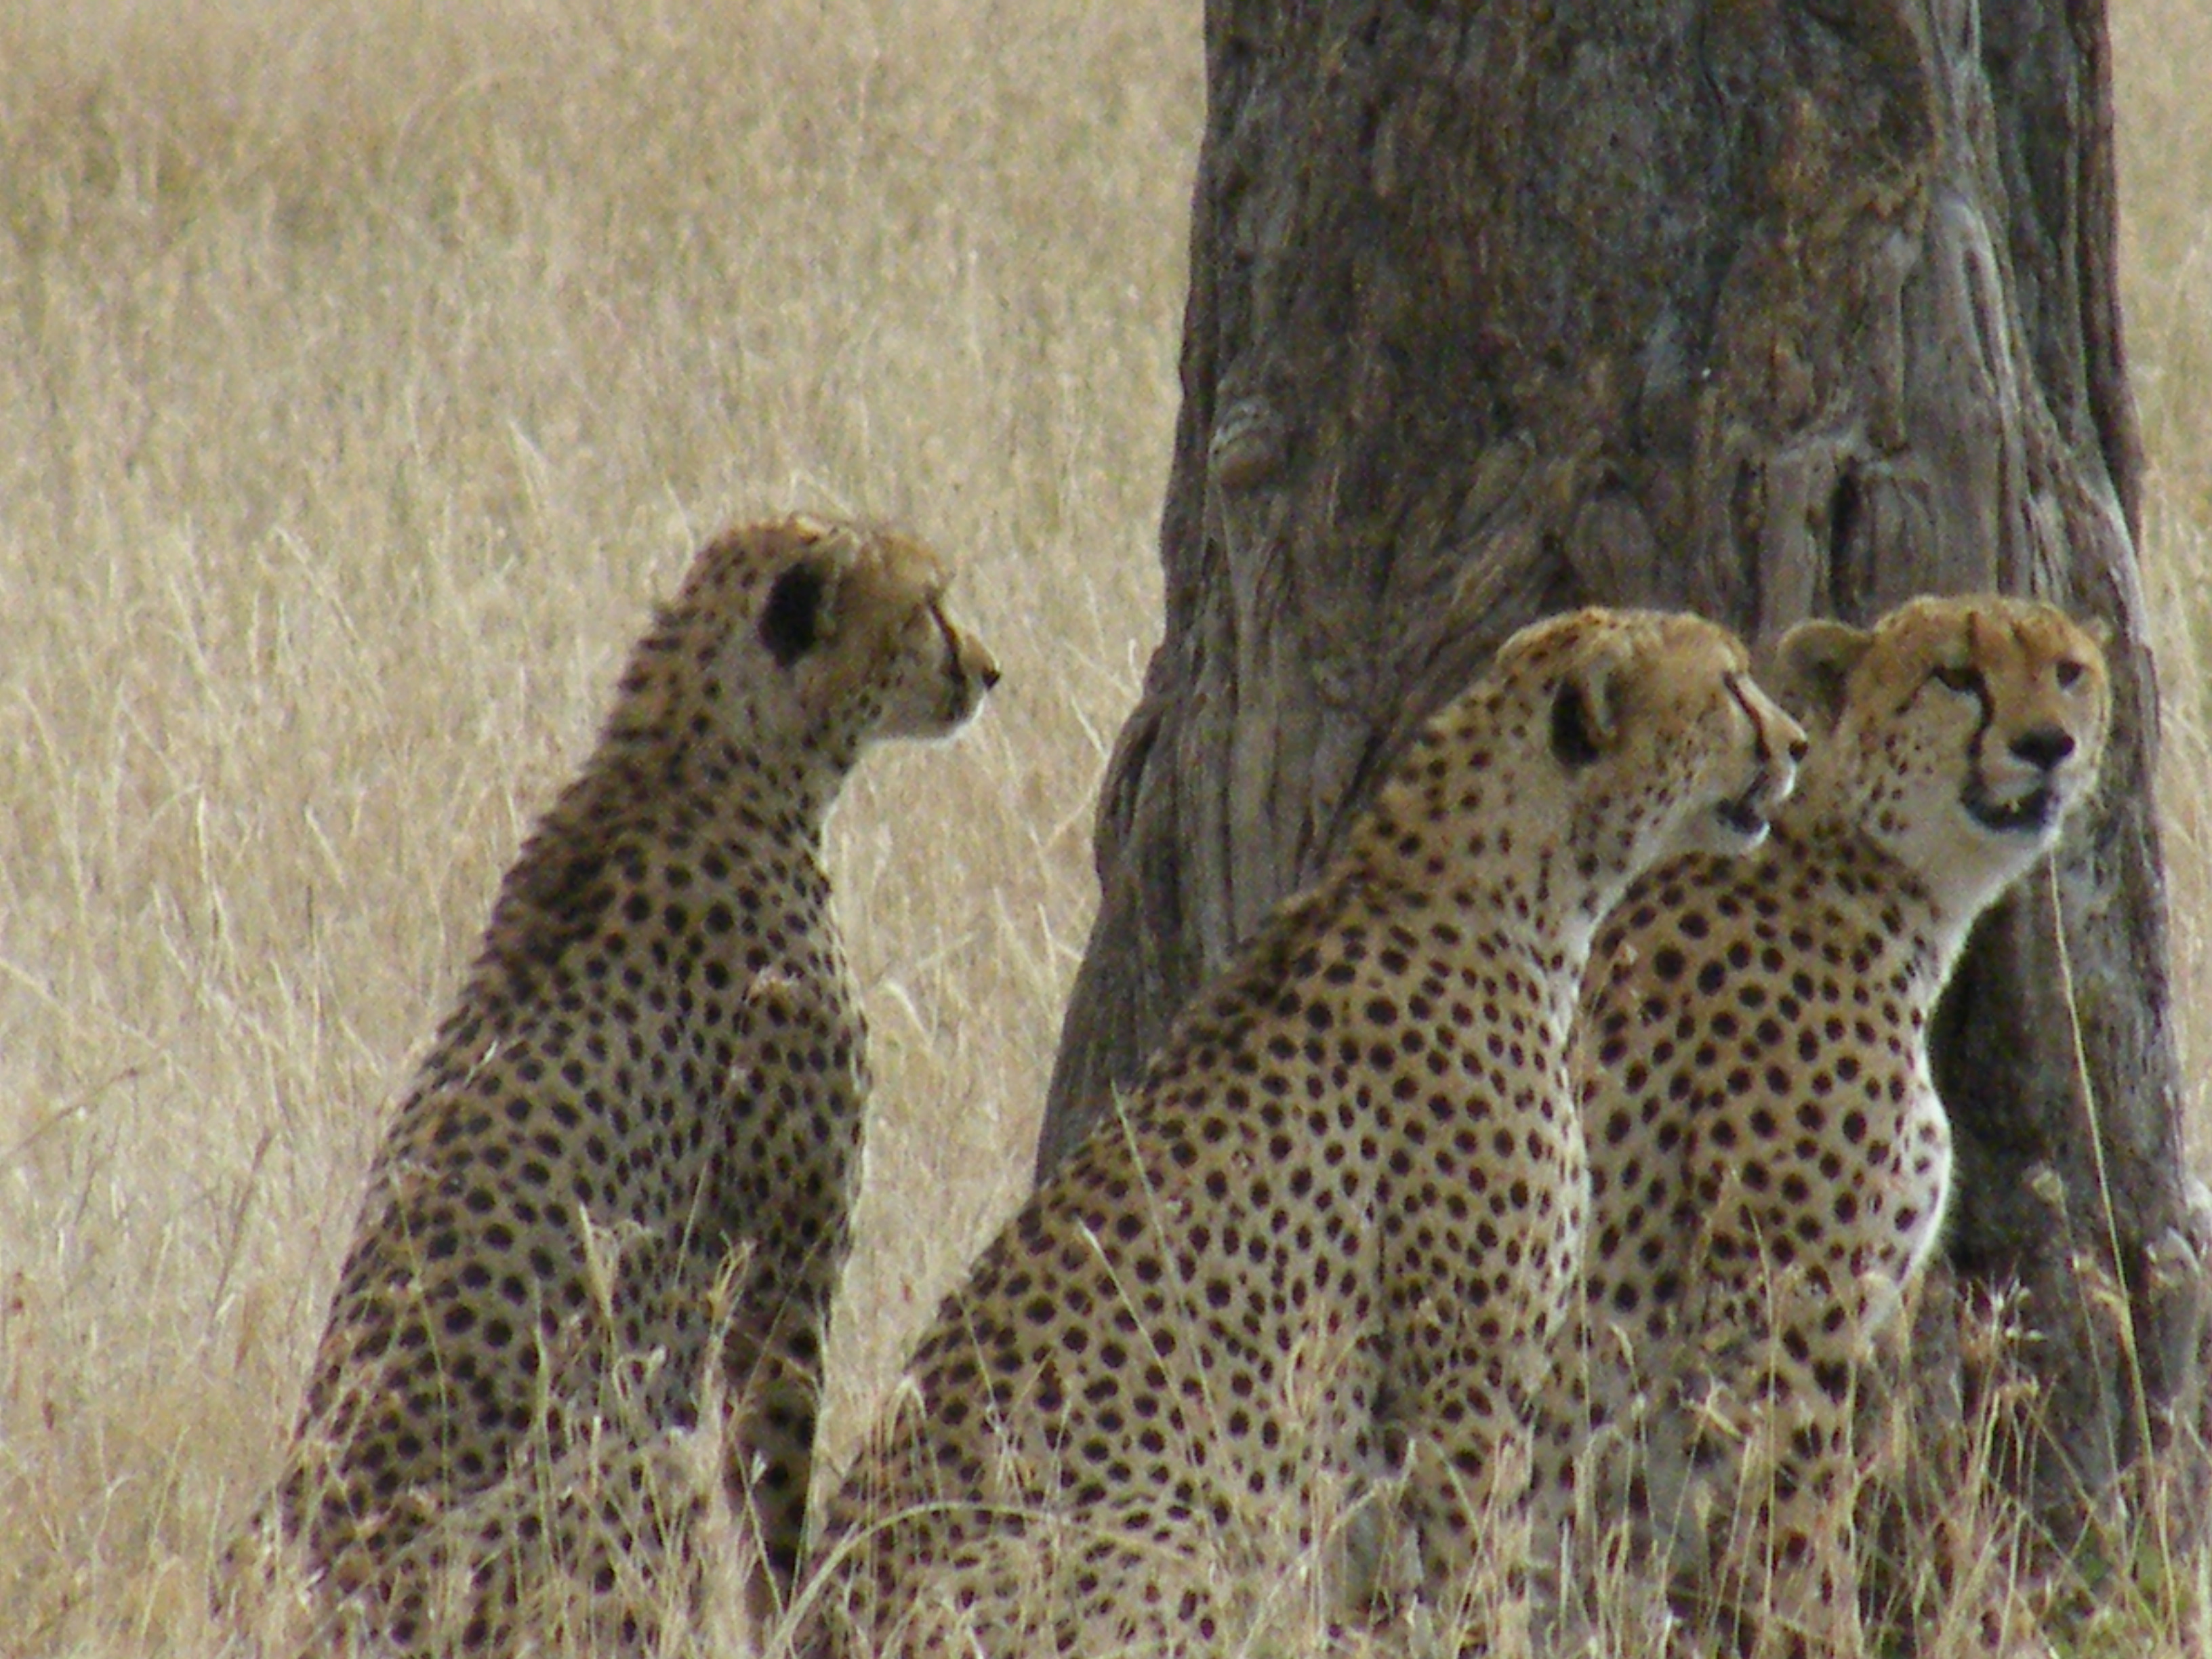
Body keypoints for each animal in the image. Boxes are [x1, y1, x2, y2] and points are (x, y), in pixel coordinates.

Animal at [226, 514, 997, 1653]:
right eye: (930, 606)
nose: (989, 670)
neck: (700, 754)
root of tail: (348, 1586)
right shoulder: (790, 1252)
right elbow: (774, 1469)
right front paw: (791, 1602)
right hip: (619, 1456)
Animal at [798, 606, 1807, 1658]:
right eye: (1732, 685)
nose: (1796, 745)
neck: (1512, 886)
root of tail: (823, 1611)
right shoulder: (1466, 1375)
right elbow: (1480, 1562)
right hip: (1181, 1534)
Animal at [1529, 594, 2110, 1659]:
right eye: (1957, 675)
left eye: (2068, 671)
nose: (2046, 744)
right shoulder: (1782, 1319)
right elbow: (1803, 1537)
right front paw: (1821, 1633)